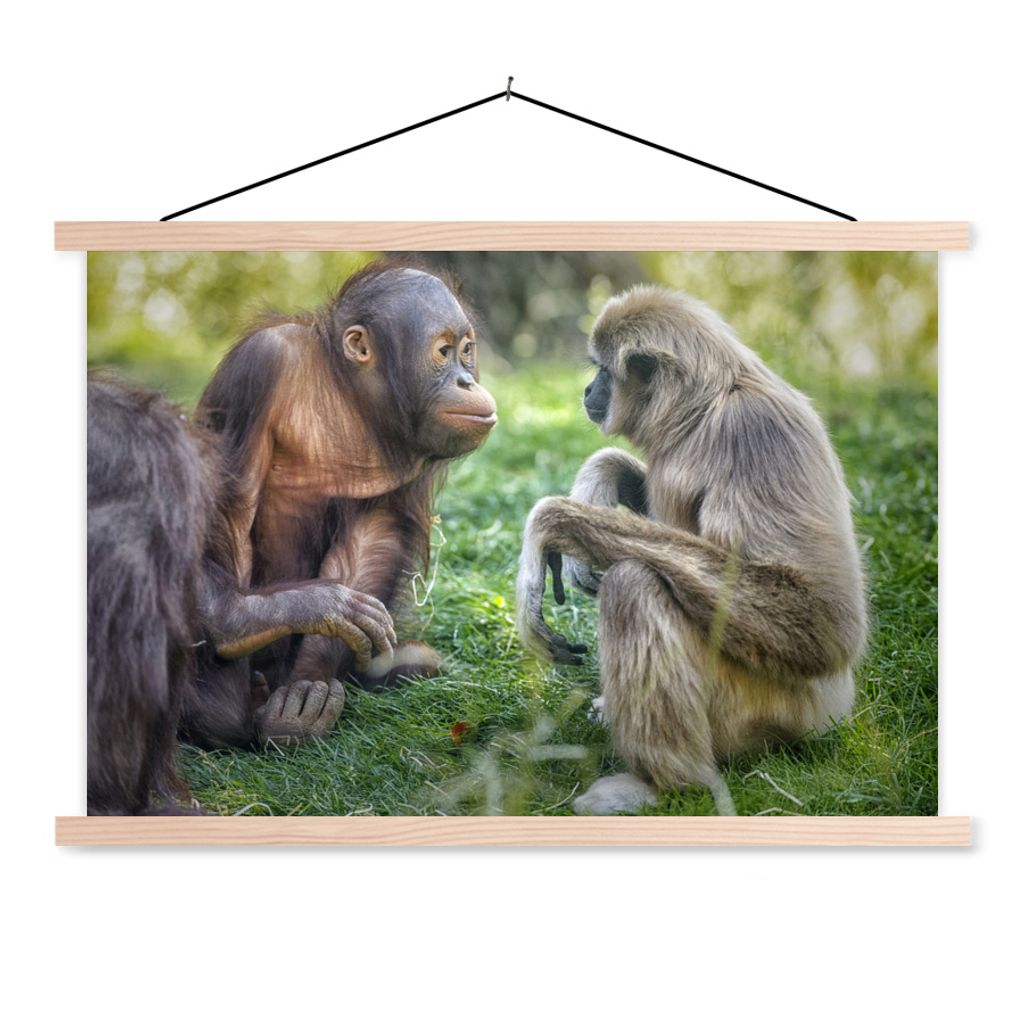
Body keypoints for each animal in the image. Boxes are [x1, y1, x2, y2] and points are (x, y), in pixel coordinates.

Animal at [516, 286, 867, 815]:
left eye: (603, 371)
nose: (588, 389)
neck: (705, 411)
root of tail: (833, 710)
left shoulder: (755, 432)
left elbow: (823, 619)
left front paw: (554, 522)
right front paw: (599, 477)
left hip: (765, 707)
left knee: (634, 583)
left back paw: (667, 784)